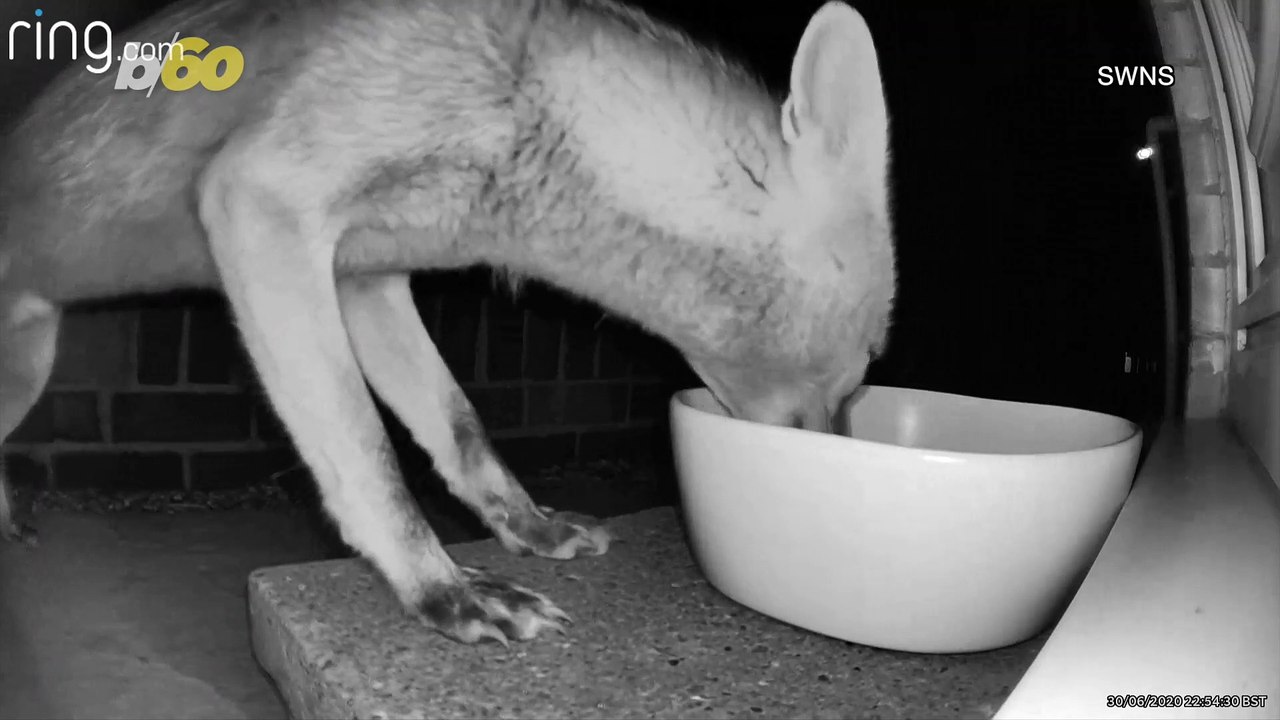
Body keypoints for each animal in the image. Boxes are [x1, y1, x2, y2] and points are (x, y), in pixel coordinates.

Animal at [0, 0, 895, 644]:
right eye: (866, 360)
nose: (836, 469)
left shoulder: (365, 279)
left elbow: (458, 430)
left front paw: (528, 530)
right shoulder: (262, 204)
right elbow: (367, 456)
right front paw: (443, 592)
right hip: (28, 373)